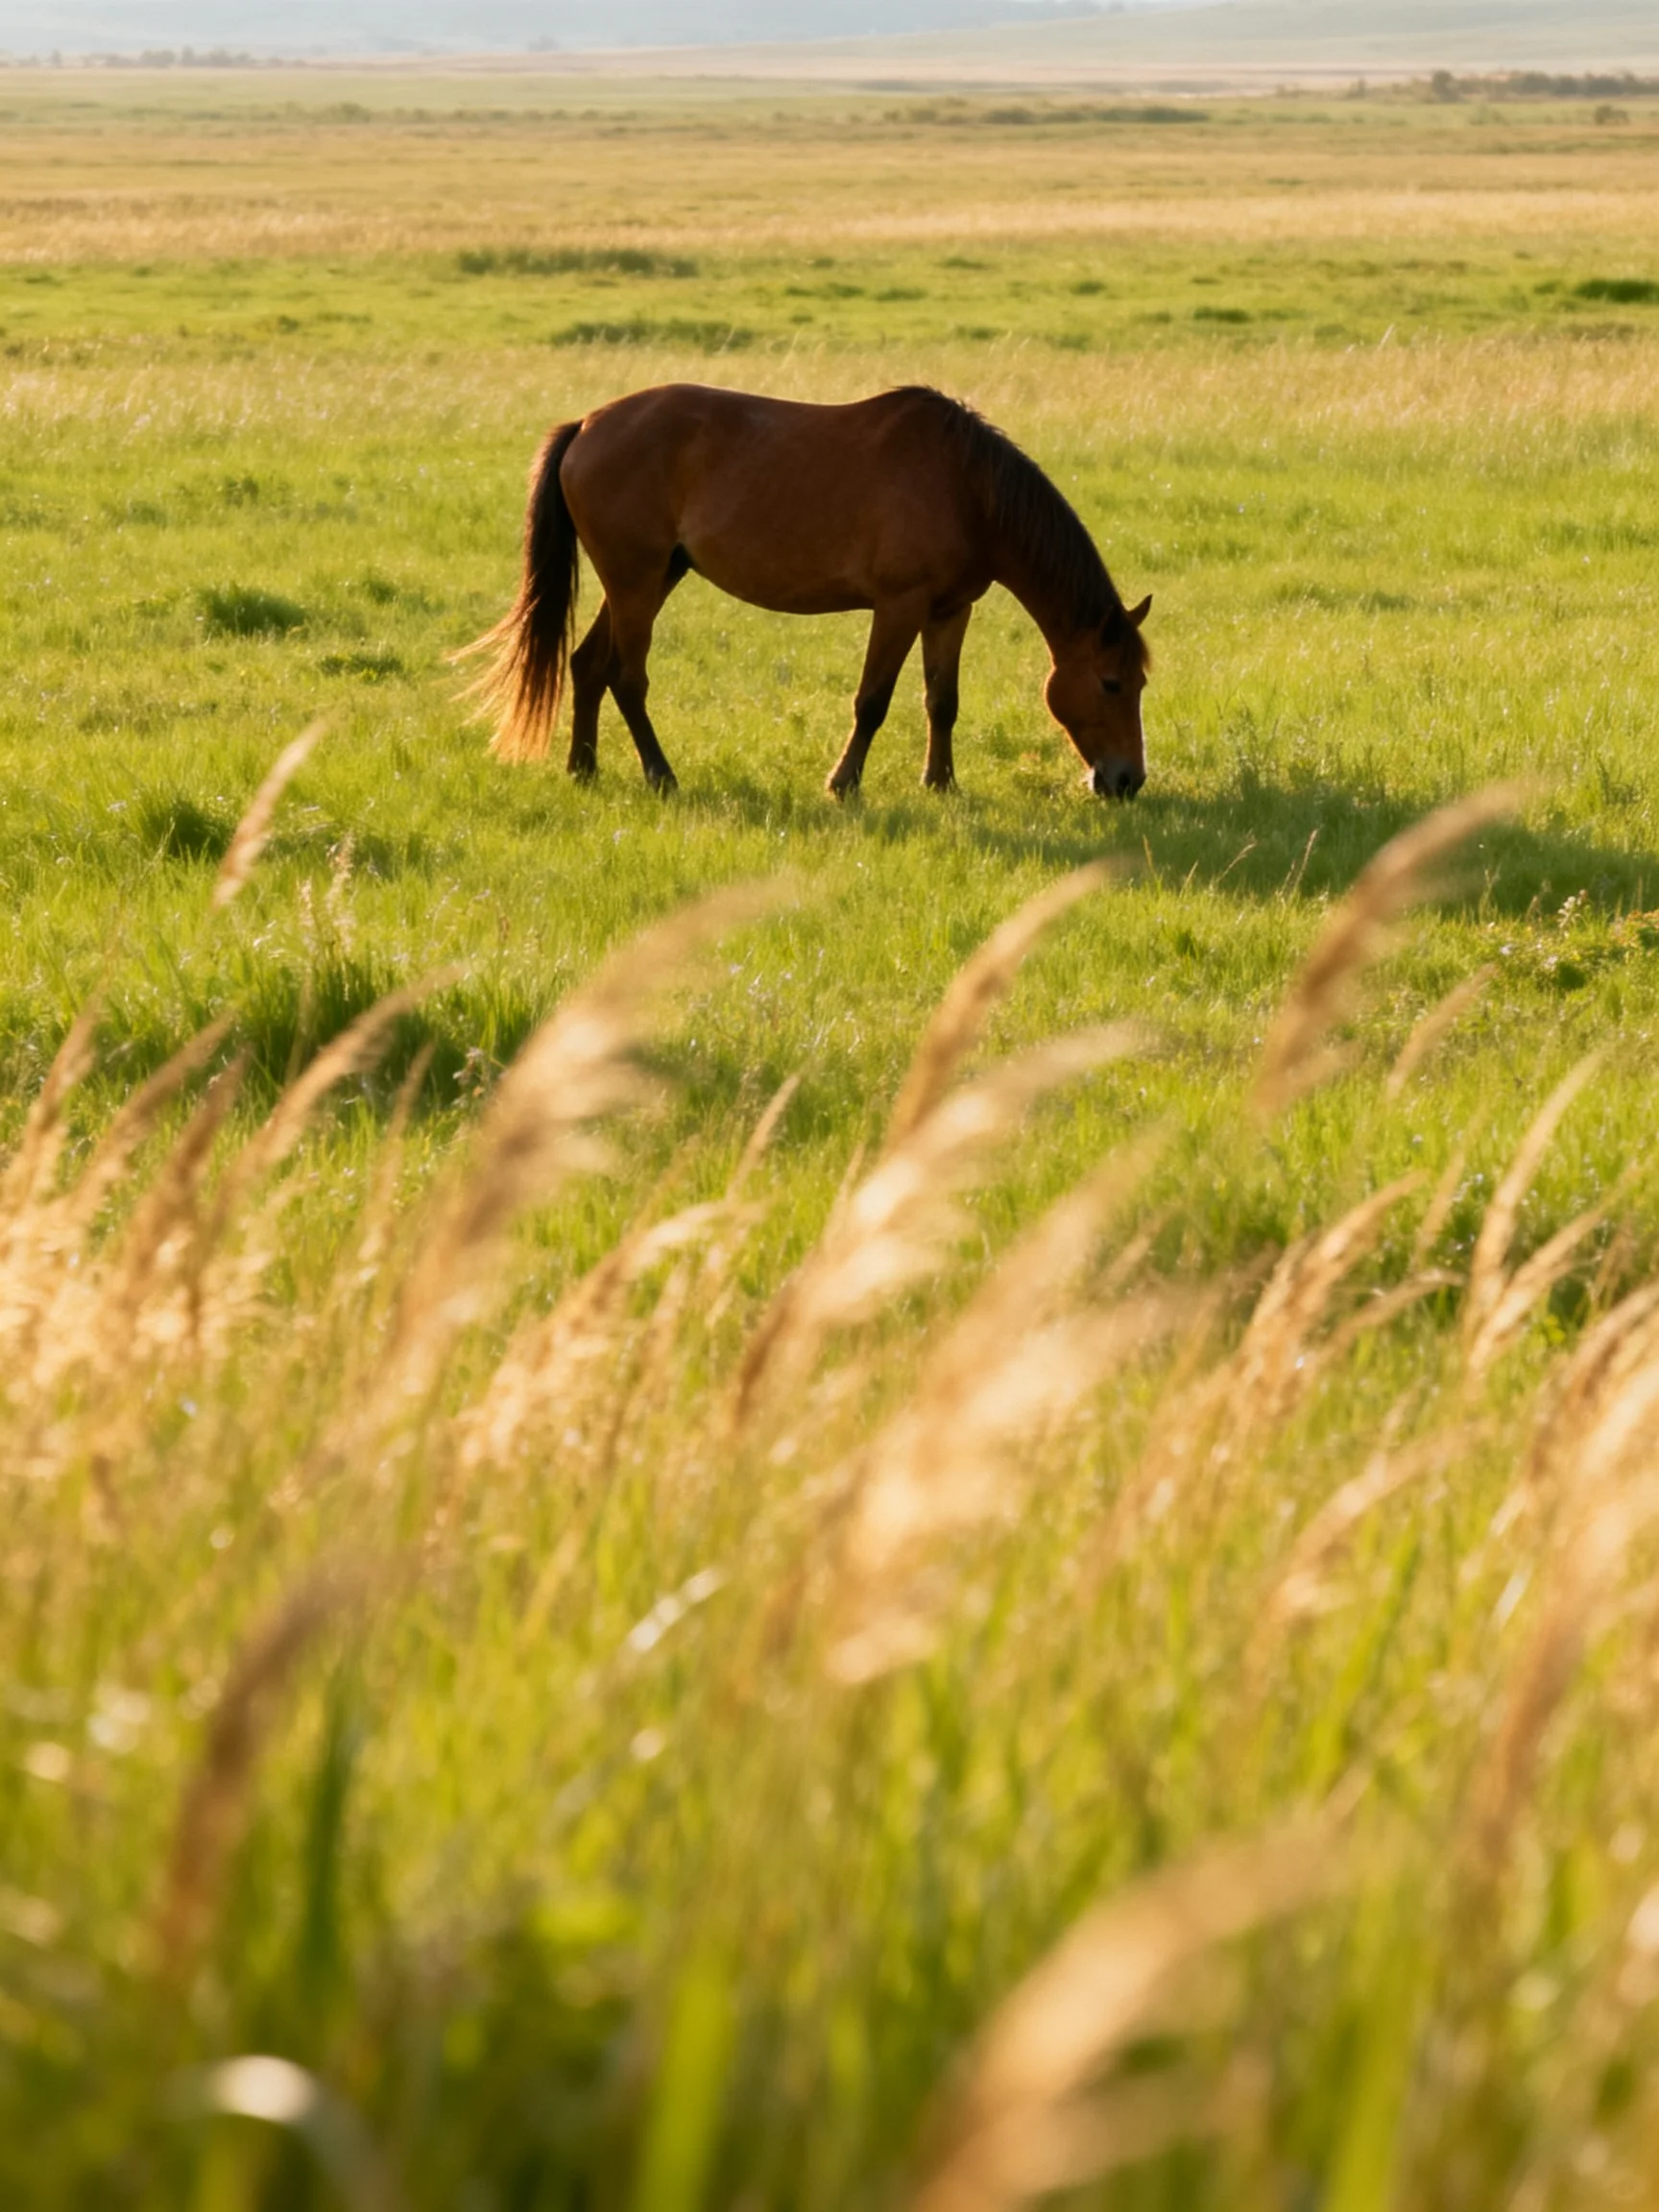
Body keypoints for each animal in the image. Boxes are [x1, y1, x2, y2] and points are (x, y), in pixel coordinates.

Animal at [463, 383, 1151, 799]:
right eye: (1112, 683)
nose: (1126, 781)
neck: (968, 489)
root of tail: (587, 426)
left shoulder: (951, 610)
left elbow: (942, 701)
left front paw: (941, 783)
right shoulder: (898, 606)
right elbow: (872, 702)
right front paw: (844, 783)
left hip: (652, 577)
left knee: (587, 665)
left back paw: (584, 767)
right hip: (636, 579)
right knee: (627, 678)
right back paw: (661, 774)